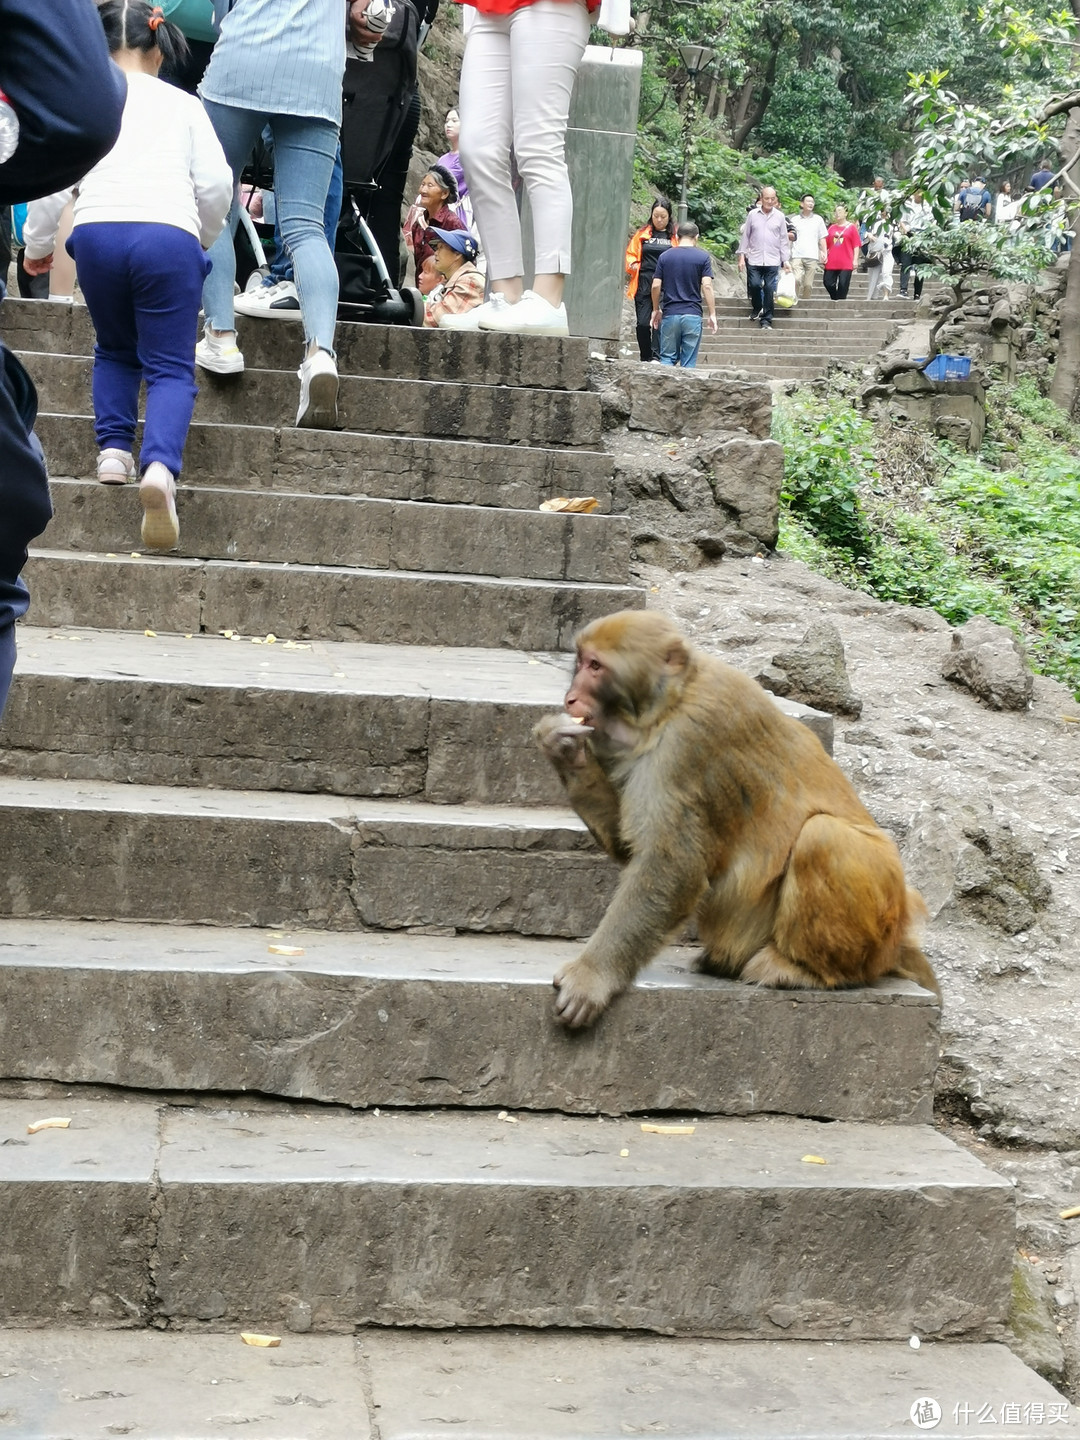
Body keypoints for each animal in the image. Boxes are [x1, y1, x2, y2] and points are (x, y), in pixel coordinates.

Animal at [538, 607, 944, 1025]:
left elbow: (672, 867)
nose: (570, 698)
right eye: (580, 661)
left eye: (596, 666)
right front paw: (565, 749)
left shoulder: (690, 743)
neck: (670, 705)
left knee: (823, 836)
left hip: (878, 928)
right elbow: (629, 845)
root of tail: (899, 936)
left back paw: (807, 971)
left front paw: (591, 978)